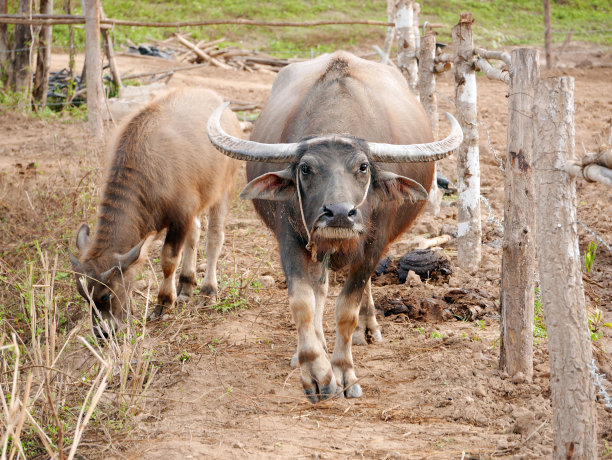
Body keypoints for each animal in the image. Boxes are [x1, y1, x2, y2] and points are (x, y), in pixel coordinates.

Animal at [70, 88, 240, 332]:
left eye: (106, 296)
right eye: (84, 296)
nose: (103, 333)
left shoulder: (181, 216)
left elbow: (168, 259)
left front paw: (164, 302)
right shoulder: (184, 215)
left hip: (224, 189)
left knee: (214, 237)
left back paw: (208, 291)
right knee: (195, 233)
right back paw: (186, 284)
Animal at [208, 51, 462, 402]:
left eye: (363, 167)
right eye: (305, 168)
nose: (340, 214)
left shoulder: (372, 245)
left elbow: (346, 310)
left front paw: (344, 373)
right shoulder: (292, 240)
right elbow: (303, 301)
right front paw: (316, 372)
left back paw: (368, 329)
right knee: (320, 291)